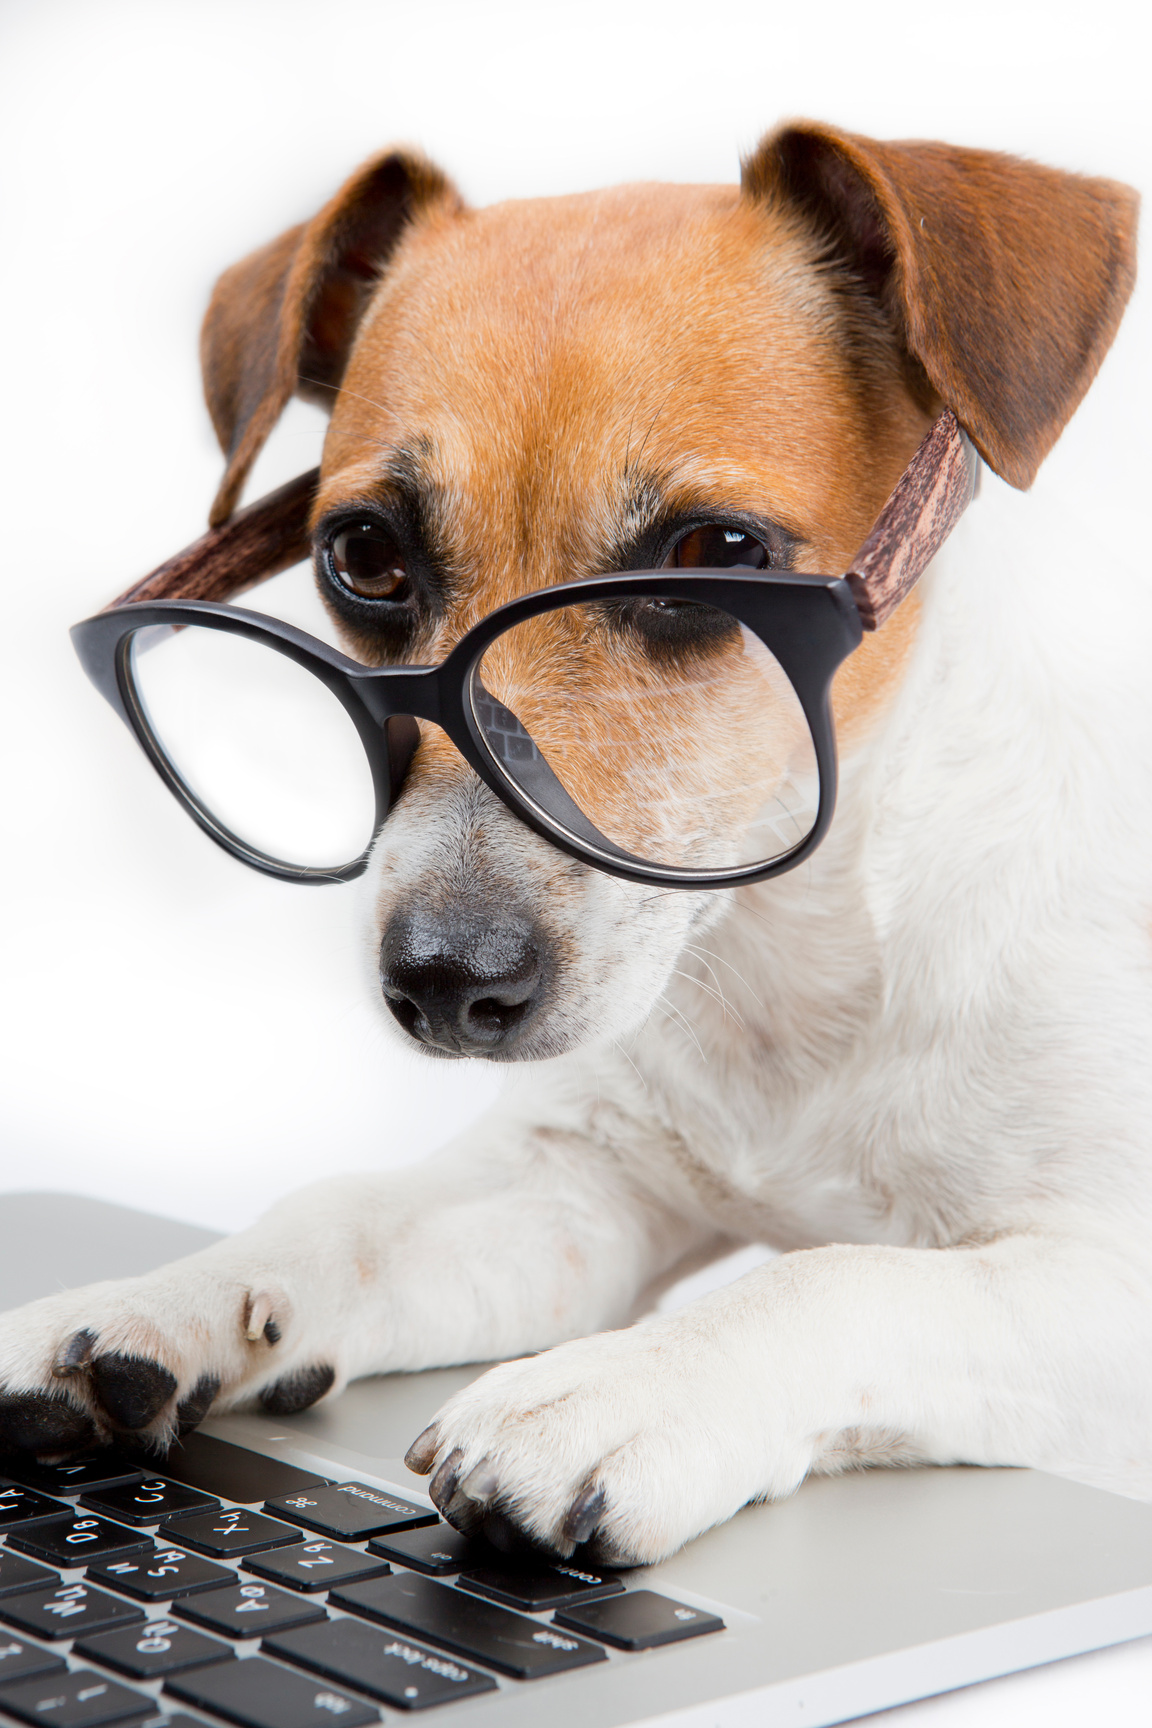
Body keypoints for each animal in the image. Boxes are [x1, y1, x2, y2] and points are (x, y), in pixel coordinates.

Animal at [0, 121, 1146, 1575]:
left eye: (716, 553)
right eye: (363, 554)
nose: (445, 983)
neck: (809, 941)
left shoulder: (1100, 1279)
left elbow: (841, 1277)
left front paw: (620, 1385)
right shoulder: (578, 1187)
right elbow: (341, 1215)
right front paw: (164, 1296)